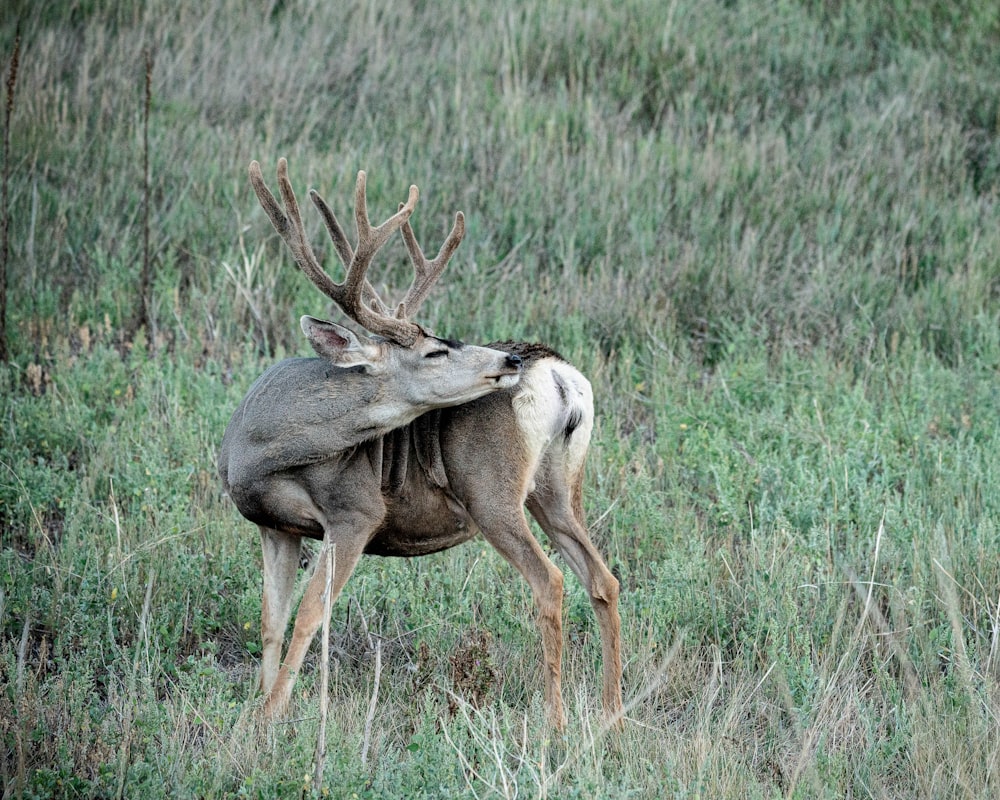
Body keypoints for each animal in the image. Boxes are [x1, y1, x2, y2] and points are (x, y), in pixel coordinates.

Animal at [218, 158, 620, 732]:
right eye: (434, 351)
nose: (510, 361)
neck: (263, 450)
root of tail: (559, 374)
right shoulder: (274, 526)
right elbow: (271, 619)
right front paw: (258, 705)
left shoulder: (355, 511)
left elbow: (311, 613)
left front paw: (272, 713)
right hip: (558, 489)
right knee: (602, 579)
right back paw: (613, 715)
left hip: (492, 493)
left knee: (551, 582)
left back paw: (556, 723)